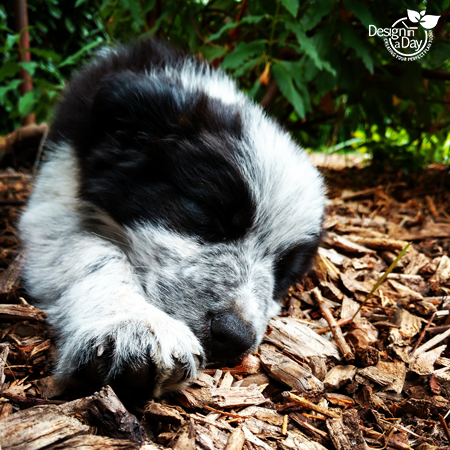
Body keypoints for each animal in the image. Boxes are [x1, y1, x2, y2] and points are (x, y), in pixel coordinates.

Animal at [19, 37, 326, 398]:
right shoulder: (56, 198)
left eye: (284, 272)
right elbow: (93, 252)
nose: (234, 336)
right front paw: (133, 324)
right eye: (206, 213)